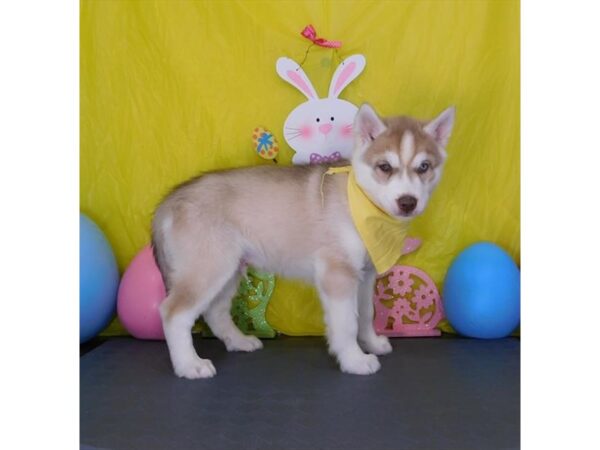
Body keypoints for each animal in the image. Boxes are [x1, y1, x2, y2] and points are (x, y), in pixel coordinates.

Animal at [151, 103, 454, 378]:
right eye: (385, 167)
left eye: (424, 167)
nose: (407, 202)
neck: (361, 203)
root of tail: (171, 199)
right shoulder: (337, 272)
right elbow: (347, 323)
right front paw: (354, 359)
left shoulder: (365, 274)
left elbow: (366, 313)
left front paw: (372, 343)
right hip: (208, 268)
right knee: (173, 313)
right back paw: (189, 365)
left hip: (228, 270)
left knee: (215, 311)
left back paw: (238, 341)